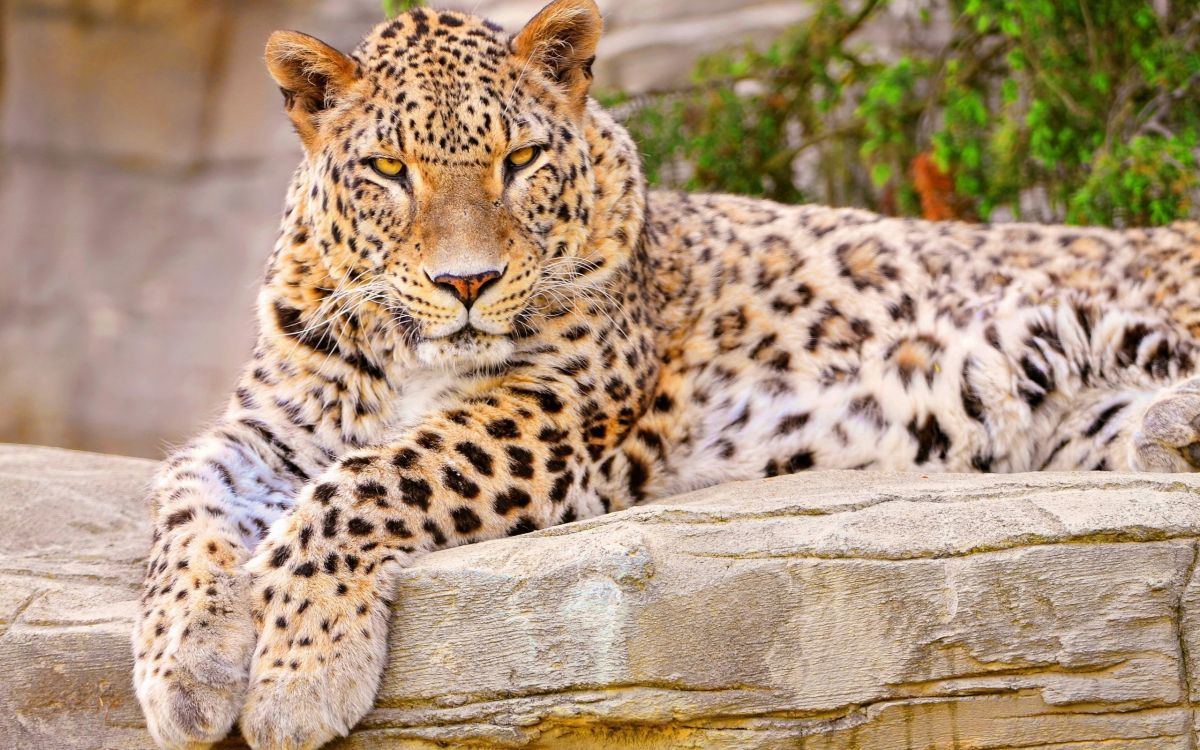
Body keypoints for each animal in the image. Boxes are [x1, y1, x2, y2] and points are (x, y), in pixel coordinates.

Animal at [131, 2, 1200, 744]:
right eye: (390, 171)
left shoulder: (559, 407)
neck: (406, 356)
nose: (467, 282)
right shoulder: (272, 425)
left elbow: (370, 481)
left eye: (521, 160)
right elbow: (182, 497)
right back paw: (1167, 436)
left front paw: (298, 672)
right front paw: (187, 664)